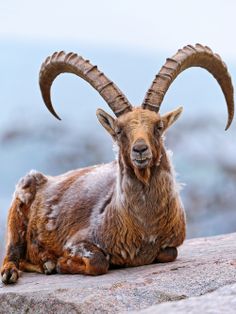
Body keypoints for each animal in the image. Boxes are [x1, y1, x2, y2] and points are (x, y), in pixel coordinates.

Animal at [1, 44, 234, 284]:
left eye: (158, 126)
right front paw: (60, 262)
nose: (140, 149)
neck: (144, 226)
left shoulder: (171, 245)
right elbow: (98, 262)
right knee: (12, 254)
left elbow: (169, 253)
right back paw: (27, 268)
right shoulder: (77, 241)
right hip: (17, 213)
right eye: (119, 130)